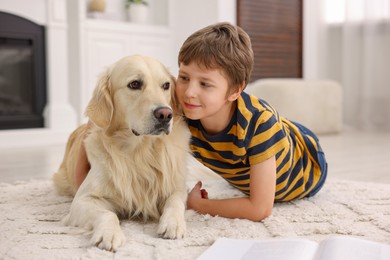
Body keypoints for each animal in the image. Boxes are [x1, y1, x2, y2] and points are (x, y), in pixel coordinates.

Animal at [53, 54, 190, 252]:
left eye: (166, 85)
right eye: (134, 84)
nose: (165, 114)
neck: (140, 152)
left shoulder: (178, 187)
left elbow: (175, 202)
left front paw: (173, 223)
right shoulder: (82, 200)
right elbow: (107, 214)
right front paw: (109, 234)